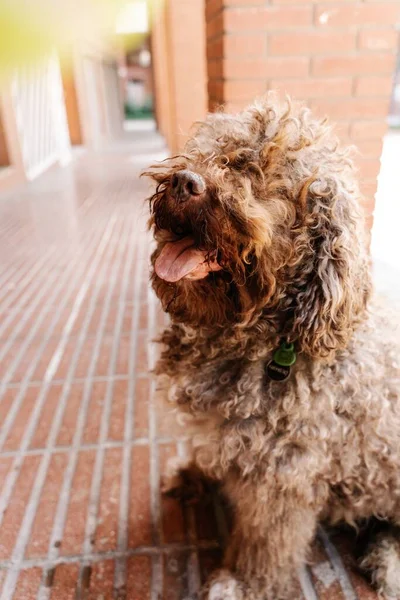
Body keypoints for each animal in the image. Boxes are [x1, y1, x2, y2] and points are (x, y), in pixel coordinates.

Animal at [145, 96, 400, 596]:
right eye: (220, 154)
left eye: (268, 180)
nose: (186, 182)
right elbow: (210, 450)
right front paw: (193, 476)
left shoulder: (284, 470)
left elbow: (266, 541)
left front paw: (243, 584)